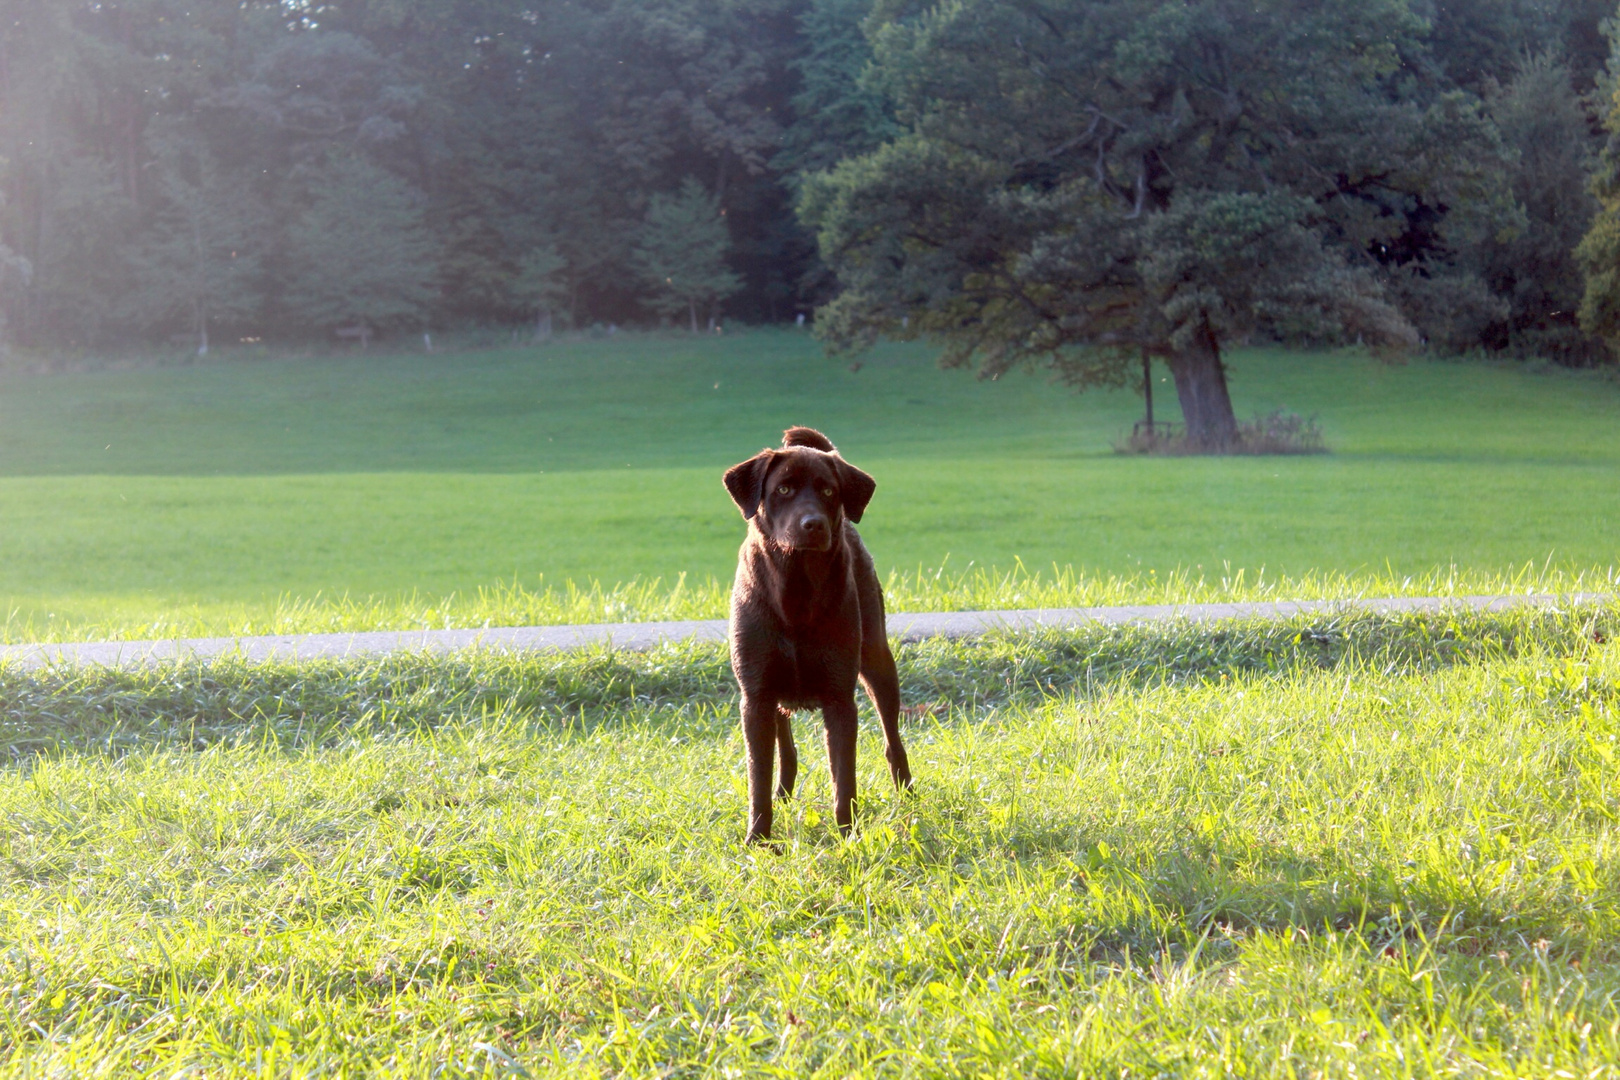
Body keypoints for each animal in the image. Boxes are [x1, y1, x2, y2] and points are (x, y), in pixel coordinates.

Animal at [722, 424, 913, 841]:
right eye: (783, 489)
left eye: (828, 491)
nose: (813, 525)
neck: (796, 588)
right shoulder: (755, 697)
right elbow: (757, 776)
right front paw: (758, 839)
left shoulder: (840, 699)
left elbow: (844, 778)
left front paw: (848, 837)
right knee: (785, 753)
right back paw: (782, 796)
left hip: (878, 661)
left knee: (892, 740)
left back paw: (908, 796)